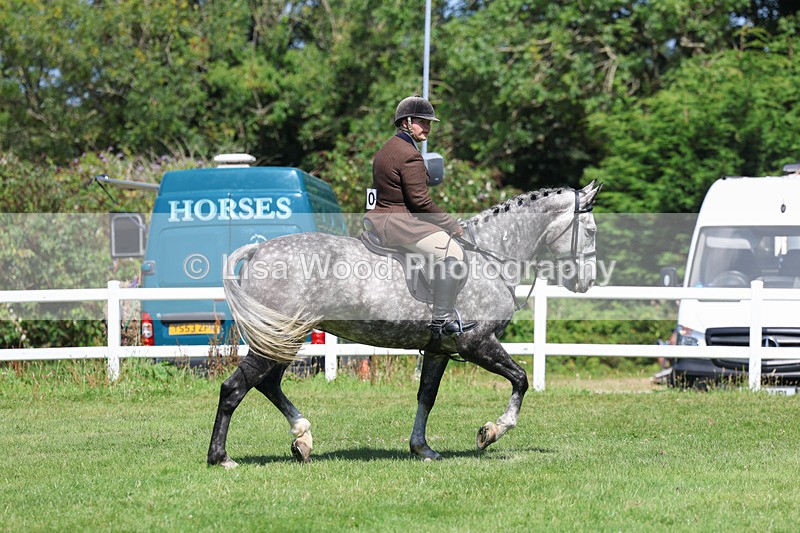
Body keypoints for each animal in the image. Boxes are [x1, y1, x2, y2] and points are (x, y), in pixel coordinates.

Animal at [208, 181, 602, 467]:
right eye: (591, 231)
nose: (587, 282)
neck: (490, 257)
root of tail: (259, 250)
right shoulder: (477, 343)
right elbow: (520, 379)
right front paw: (492, 432)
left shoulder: (438, 349)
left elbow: (427, 396)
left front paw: (421, 448)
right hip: (282, 334)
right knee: (235, 388)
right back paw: (221, 457)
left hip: (286, 336)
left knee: (267, 383)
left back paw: (302, 438)